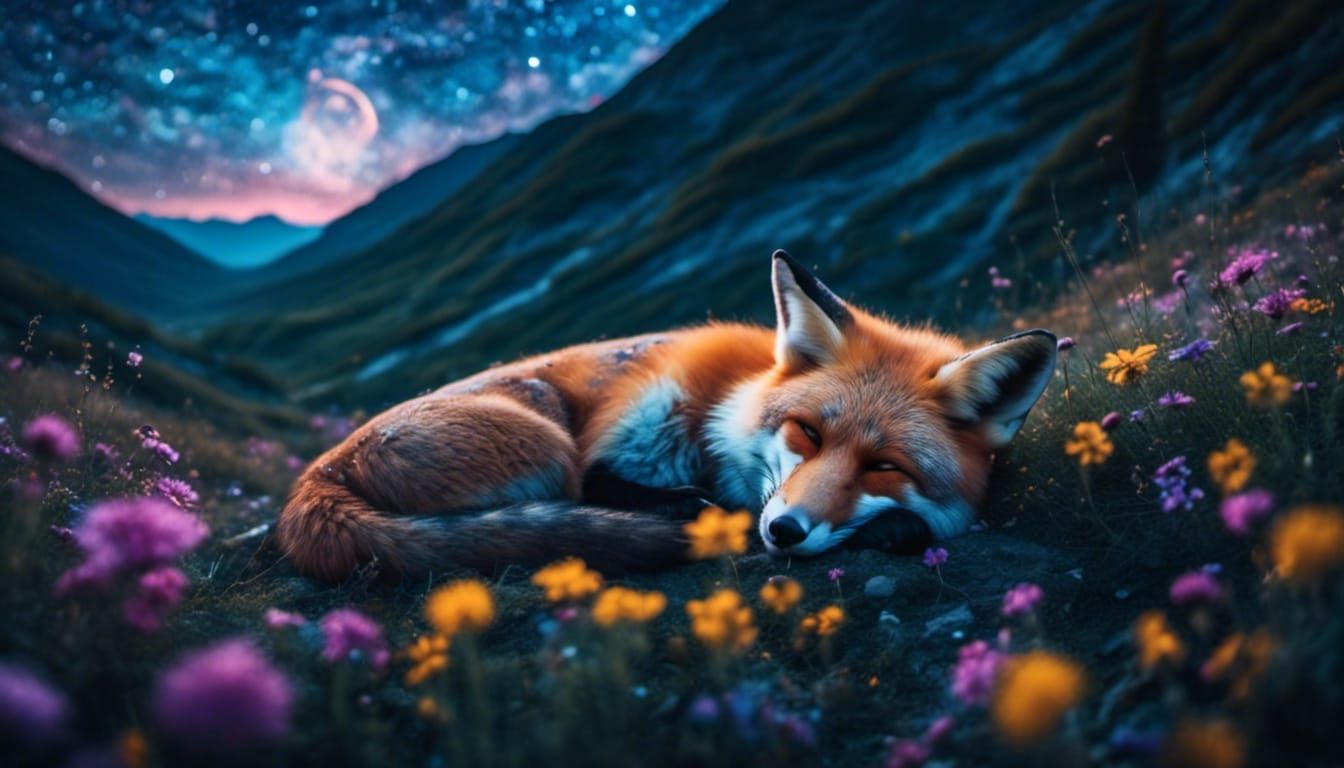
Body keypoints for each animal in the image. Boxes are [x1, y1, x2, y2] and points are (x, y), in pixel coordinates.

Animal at [277, 250, 1057, 582]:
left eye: (886, 466)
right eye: (808, 432)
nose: (783, 531)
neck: (729, 397)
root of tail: (314, 481)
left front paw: (894, 526)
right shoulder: (634, 418)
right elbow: (605, 483)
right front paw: (695, 509)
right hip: (545, 436)